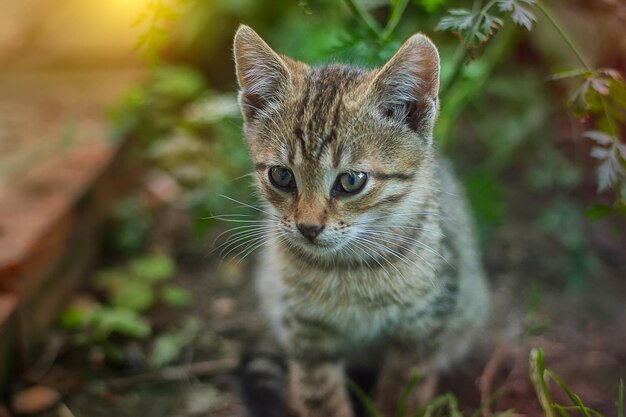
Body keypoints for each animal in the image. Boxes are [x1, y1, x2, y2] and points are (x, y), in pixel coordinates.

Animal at [233, 25, 488, 416]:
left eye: (351, 181)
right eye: (281, 176)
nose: (308, 227)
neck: (349, 270)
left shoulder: (424, 323)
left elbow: (404, 391)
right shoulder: (305, 330)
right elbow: (320, 396)